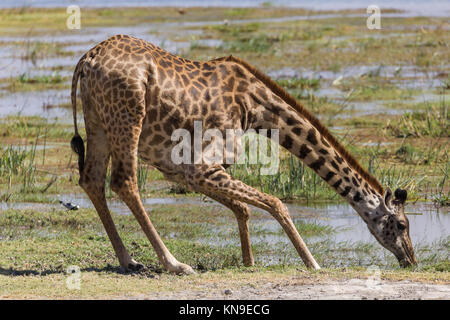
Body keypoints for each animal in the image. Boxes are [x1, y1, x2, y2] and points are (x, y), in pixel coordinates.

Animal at [70, 35, 418, 274]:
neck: (257, 108)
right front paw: (313, 263)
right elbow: (276, 203)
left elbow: (243, 208)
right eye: (401, 225)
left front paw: (249, 262)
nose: (411, 259)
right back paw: (174, 263)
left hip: (98, 122)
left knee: (92, 180)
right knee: (124, 182)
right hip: (128, 117)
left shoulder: (181, 169)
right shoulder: (203, 165)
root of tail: (86, 60)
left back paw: (128, 260)